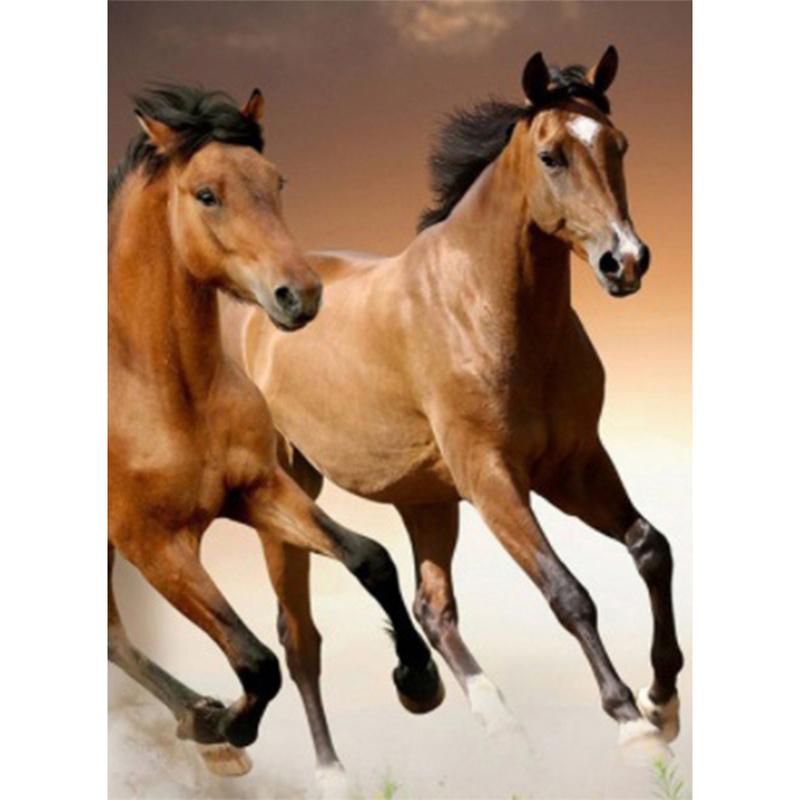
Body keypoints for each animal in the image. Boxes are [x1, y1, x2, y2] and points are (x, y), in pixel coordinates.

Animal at [108, 85, 443, 789]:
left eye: (276, 180)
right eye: (206, 194)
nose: (301, 295)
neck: (163, 388)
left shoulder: (259, 490)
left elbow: (370, 557)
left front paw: (418, 679)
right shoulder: (154, 543)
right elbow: (256, 659)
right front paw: (226, 725)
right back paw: (206, 725)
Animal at [226, 47, 684, 756]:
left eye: (619, 145)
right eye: (551, 155)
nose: (625, 261)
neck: (485, 307)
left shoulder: (575, 465)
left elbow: (651, 547)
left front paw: (662, 701)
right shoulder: (492, 476)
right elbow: (567, 591)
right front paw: (631, 722)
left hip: (426, 500)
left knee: (430, 608)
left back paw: (484, 712)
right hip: (288, 492)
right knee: (299, 639)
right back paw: (335, 767)